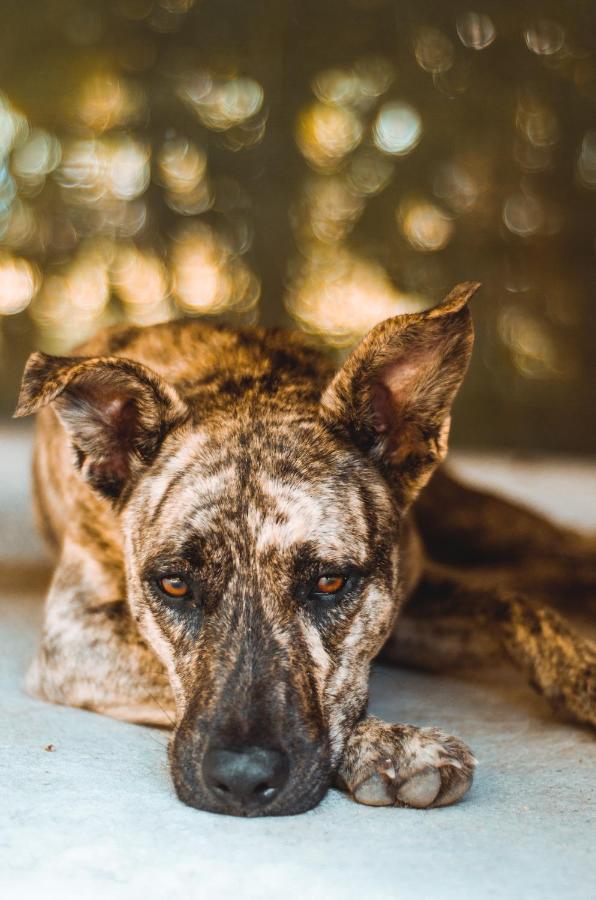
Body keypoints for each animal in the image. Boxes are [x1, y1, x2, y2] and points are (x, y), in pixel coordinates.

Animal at [15, 284, 596, 820]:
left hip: (474, 517)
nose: (242, 779)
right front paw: (386, 743)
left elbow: (511, 605)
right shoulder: (75, 636)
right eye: (174, 584)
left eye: (328, 581)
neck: (246, 382)